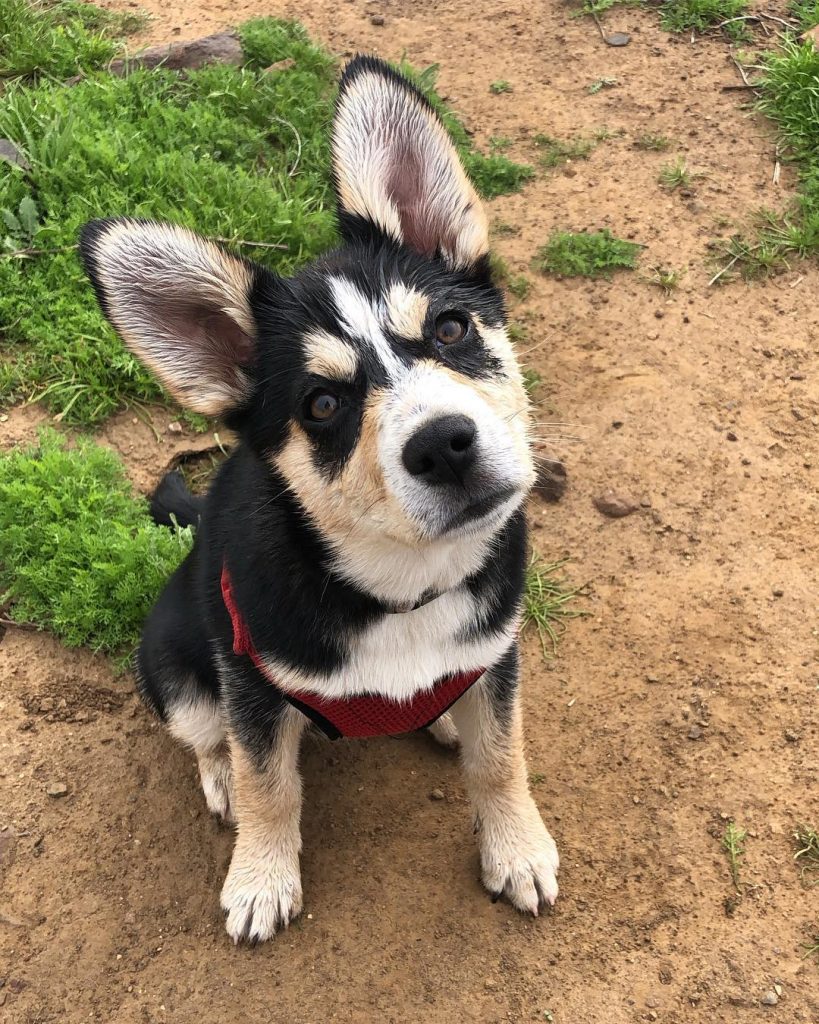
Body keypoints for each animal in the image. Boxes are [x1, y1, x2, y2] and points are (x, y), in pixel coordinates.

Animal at [79, 56, 561, 942]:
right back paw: (222, 780)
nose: (443, 444)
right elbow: (270, 782)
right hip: (173, 663)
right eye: (323, 404)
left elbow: (500, 755)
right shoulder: (247, 676)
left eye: (450, 329)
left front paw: (516, 848)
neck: (402, 589)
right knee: (208, 737)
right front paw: (260, 877)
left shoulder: (498, 652)